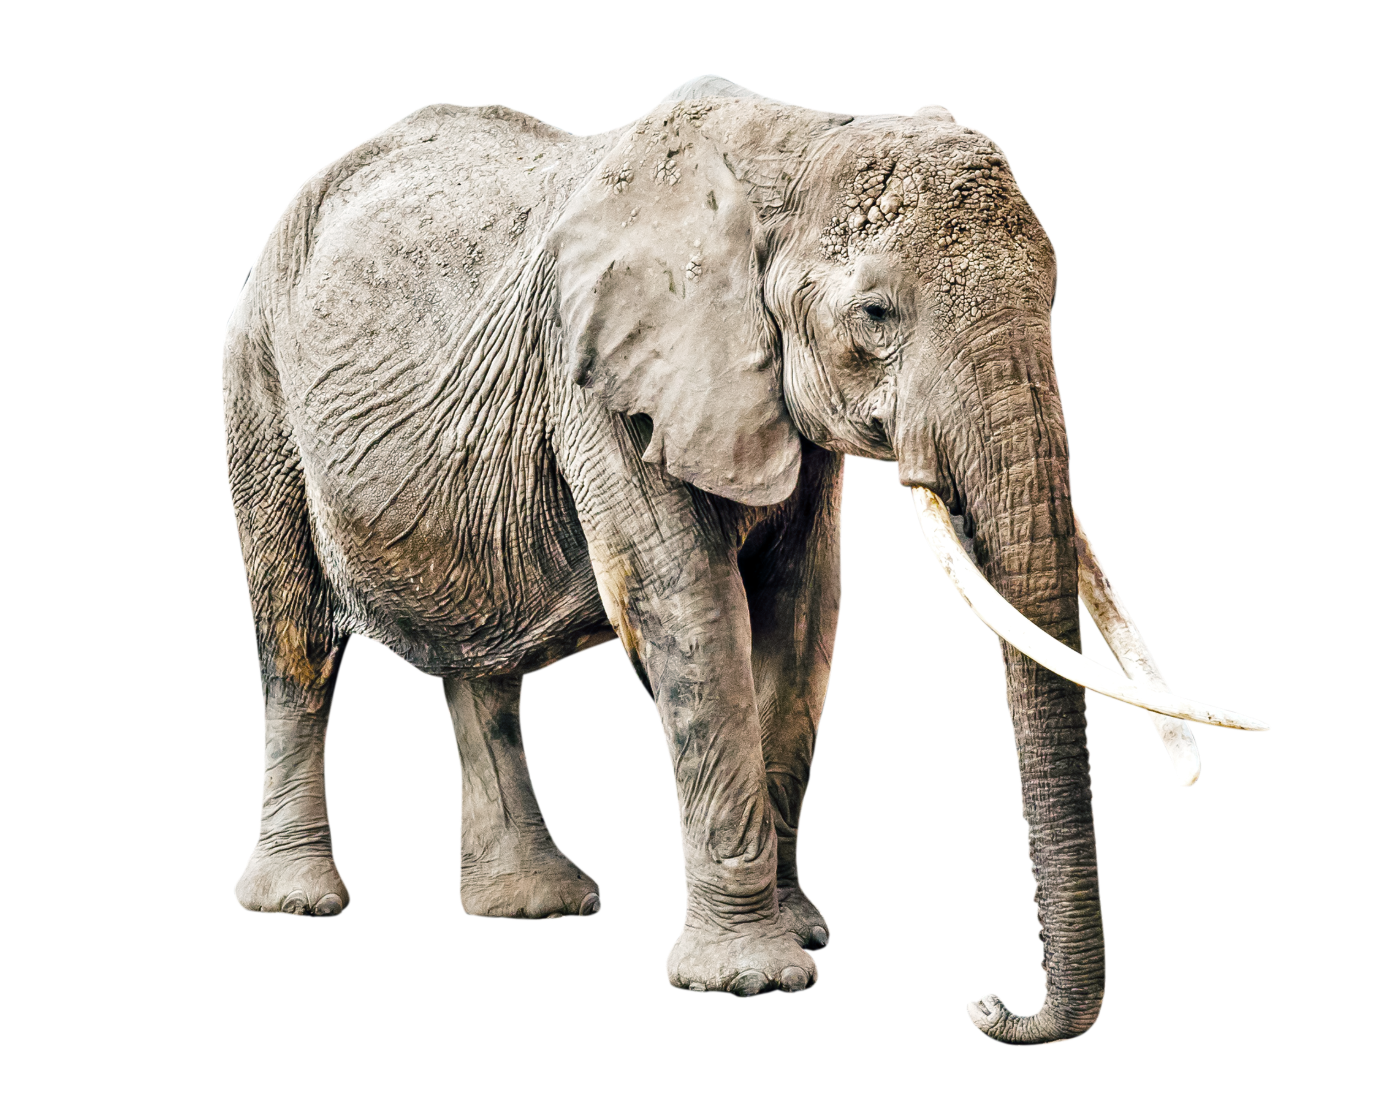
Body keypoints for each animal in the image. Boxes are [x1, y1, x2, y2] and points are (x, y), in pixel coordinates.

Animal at [223, 74, 1266, 1038]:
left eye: (1052, 297)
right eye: (876, 314)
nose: (990, 1008)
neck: (795, 153)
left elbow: (801, 610)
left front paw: (805, 936)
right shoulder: (602, 380)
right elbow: (689, 605)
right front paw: (753, 978)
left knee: (480, 658)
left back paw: (538, 905)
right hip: (257, 380)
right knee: (297, 634)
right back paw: (300, 902)